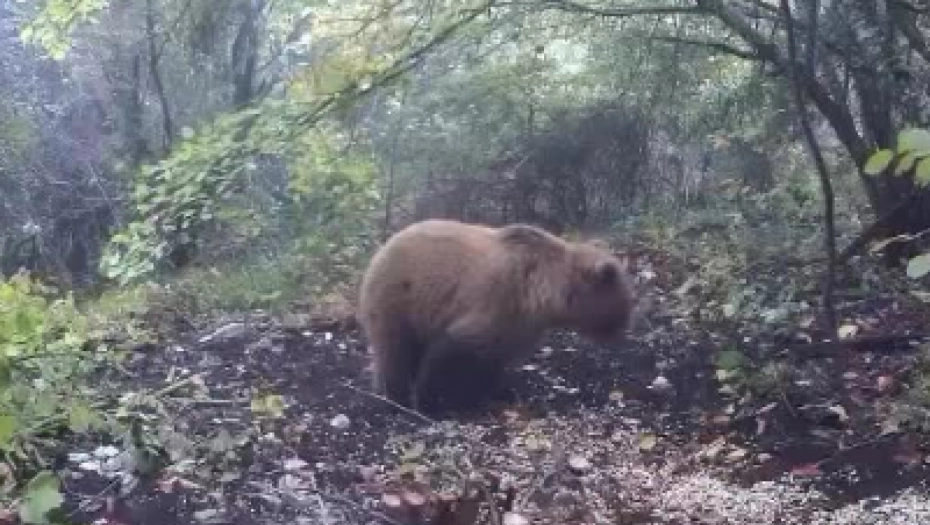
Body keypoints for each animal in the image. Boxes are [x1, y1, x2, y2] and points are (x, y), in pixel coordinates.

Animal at [357, 219, 636, 414]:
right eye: (625, 304)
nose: (623, 331)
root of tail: (383, 247)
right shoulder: (499, 302)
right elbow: (452, 350)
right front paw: (433, 402)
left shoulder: (520, 327)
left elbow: (492, 361)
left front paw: (493, 393)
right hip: (399, 296)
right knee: (394, 349)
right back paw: (394, 398)